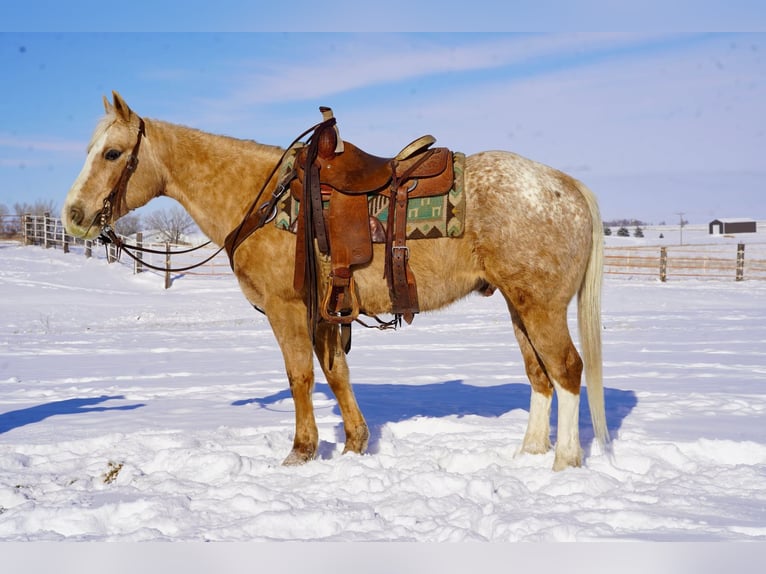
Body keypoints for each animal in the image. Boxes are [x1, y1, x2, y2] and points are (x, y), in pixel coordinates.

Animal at [63, 91, 608, 472]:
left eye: (112, 154)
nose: (73, 215)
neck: (264, 200)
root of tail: (566, 185)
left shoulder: (286, 307)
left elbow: (300, 375)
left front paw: (301, 452)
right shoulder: (325, 310)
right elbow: (336, 373)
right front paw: (354, 444)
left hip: (540, 306)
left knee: (566, 369)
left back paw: (564, 460)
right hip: (519, 306)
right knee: (540, 376)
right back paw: (530, 452)